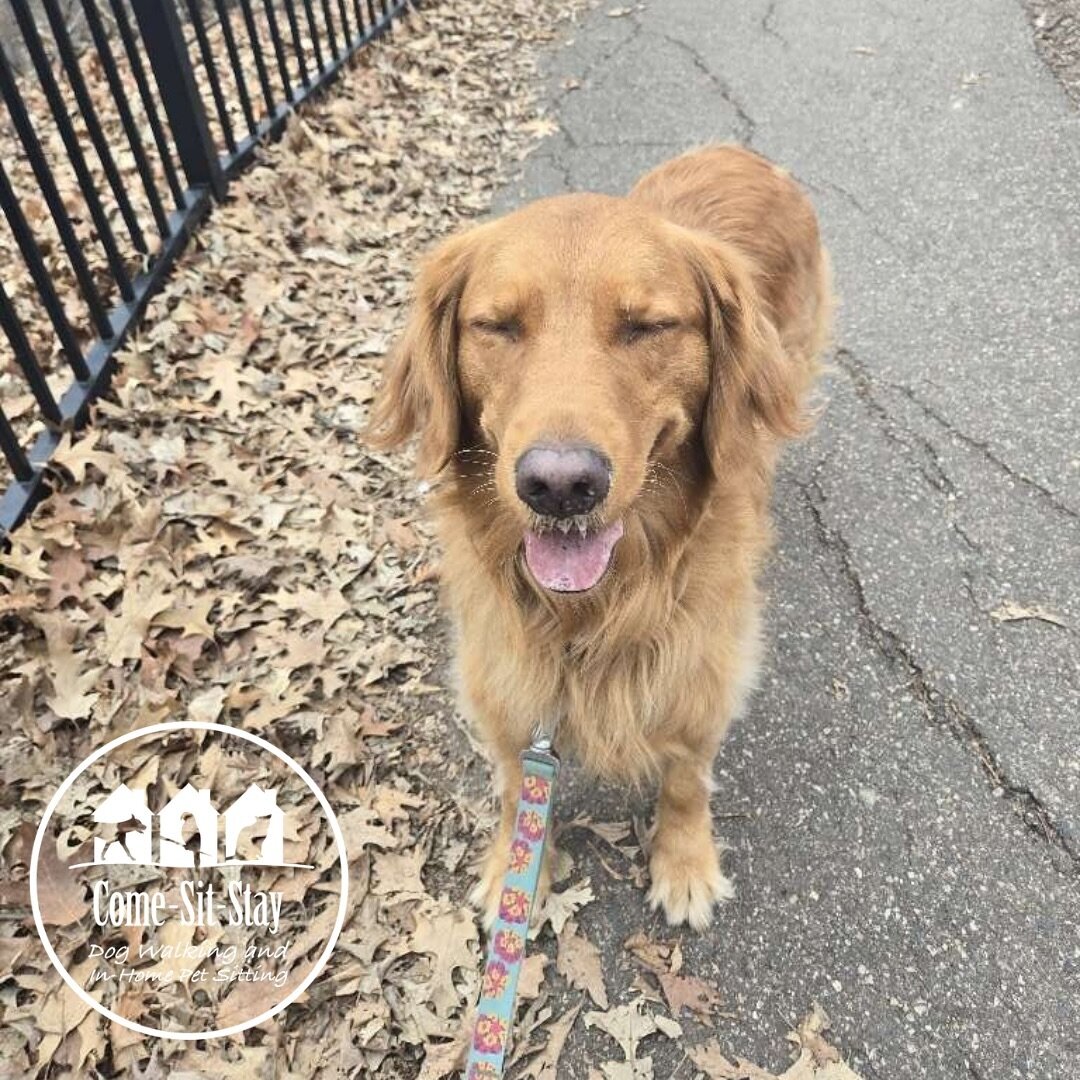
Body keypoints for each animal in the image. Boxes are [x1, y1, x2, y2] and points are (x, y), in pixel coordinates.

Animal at [367, 143, 829, 928]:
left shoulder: (704, 667)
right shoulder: (506, 674)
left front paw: (685, 862)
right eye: (497, 326)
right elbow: (514, 781)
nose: (559, 485)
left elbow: (687, 777)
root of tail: (737, 150)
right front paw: (514, 868)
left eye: (647, 326)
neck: (589, 612)